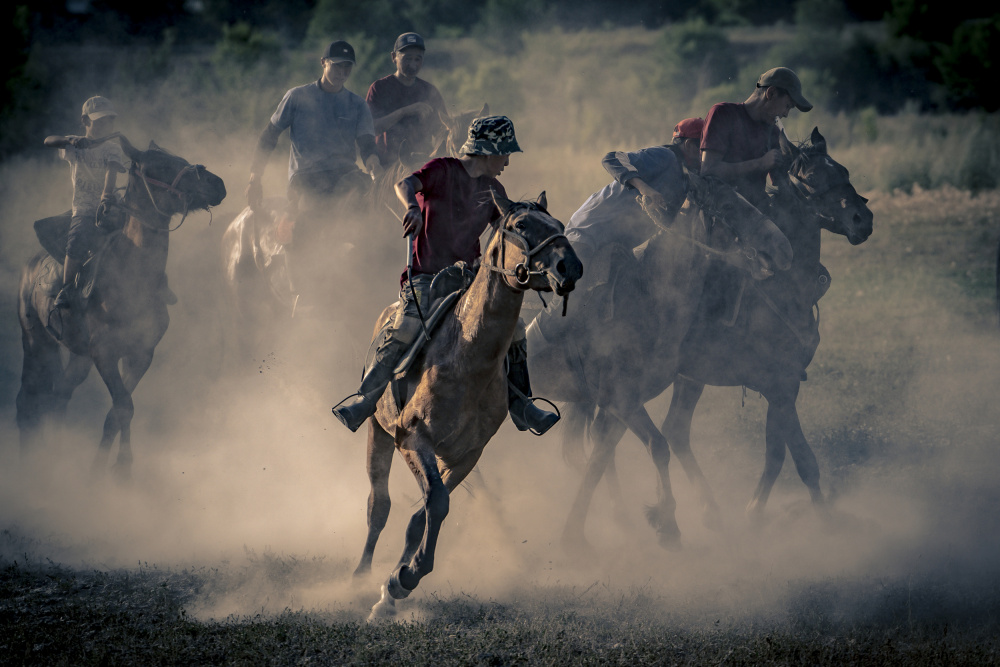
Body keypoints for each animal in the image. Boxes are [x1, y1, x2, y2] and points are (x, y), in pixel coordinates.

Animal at [17, 137, 227, 480]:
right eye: (160, 166)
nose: (217, 184)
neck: (133, 275)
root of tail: (30, 265)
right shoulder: (105, 354)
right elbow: (123, 406)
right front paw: (117, 467)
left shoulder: (140, 354)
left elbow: (117, 412)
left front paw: (110, 467)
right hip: (36, 341)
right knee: (28, 400)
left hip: (79, 357)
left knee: (60, 395)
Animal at [356, 193, 584, 620]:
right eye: (522, 225)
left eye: (558, 223)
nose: (571, 267)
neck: (467, 360)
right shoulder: (412, 439)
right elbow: (431, 503)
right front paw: (401, 578)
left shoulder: (467, 455)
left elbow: (427, 512)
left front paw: (397, 582)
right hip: (377, 430)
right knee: (378, 505)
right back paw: (359, 576)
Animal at [528, 172, 792, 552]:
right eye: (729, 206)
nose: (784, 248)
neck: (648, 294)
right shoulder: (622, 399)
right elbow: (658, 446)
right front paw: (667, 523)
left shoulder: (621, 405)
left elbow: (600, 459)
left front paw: (579, 533)